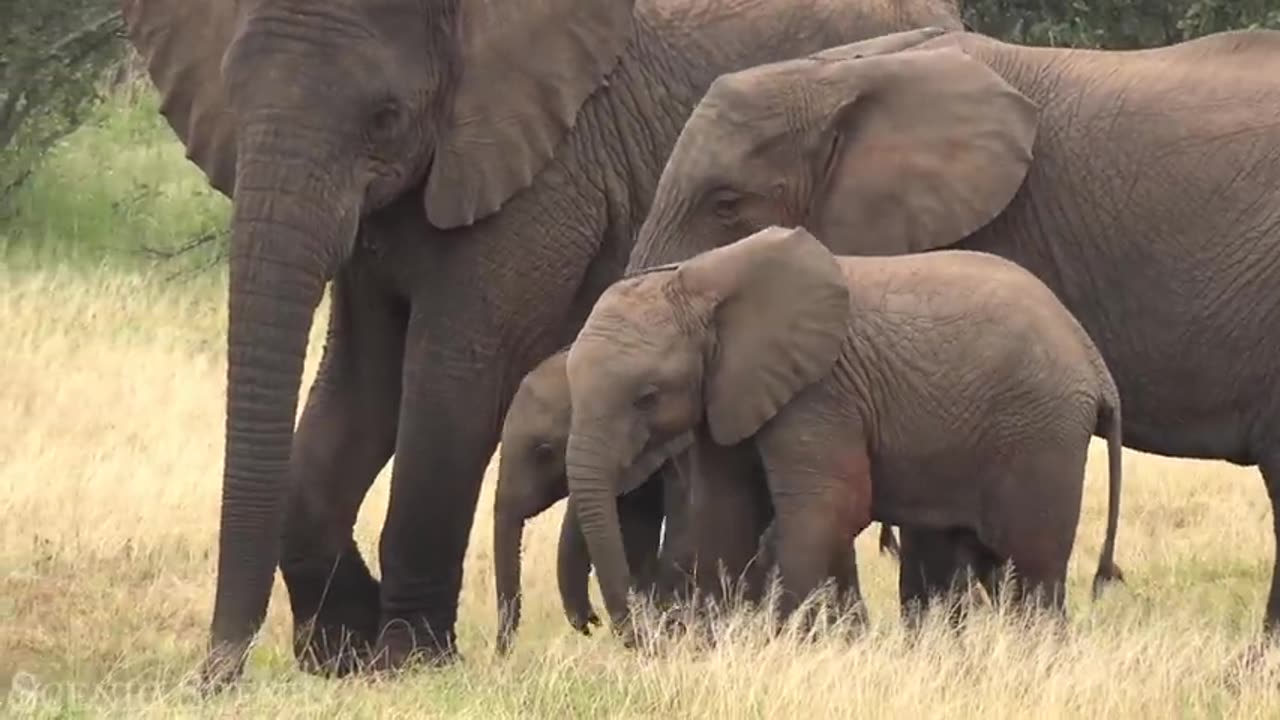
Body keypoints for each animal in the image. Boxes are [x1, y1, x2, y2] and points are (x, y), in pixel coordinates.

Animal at [122, 0, 962, 681]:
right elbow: (360, 387)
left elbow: (448, 381)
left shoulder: (545, 174)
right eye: (230, 100)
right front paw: (341, 653)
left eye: (385, 117)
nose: (215, 678)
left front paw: (404, 661)